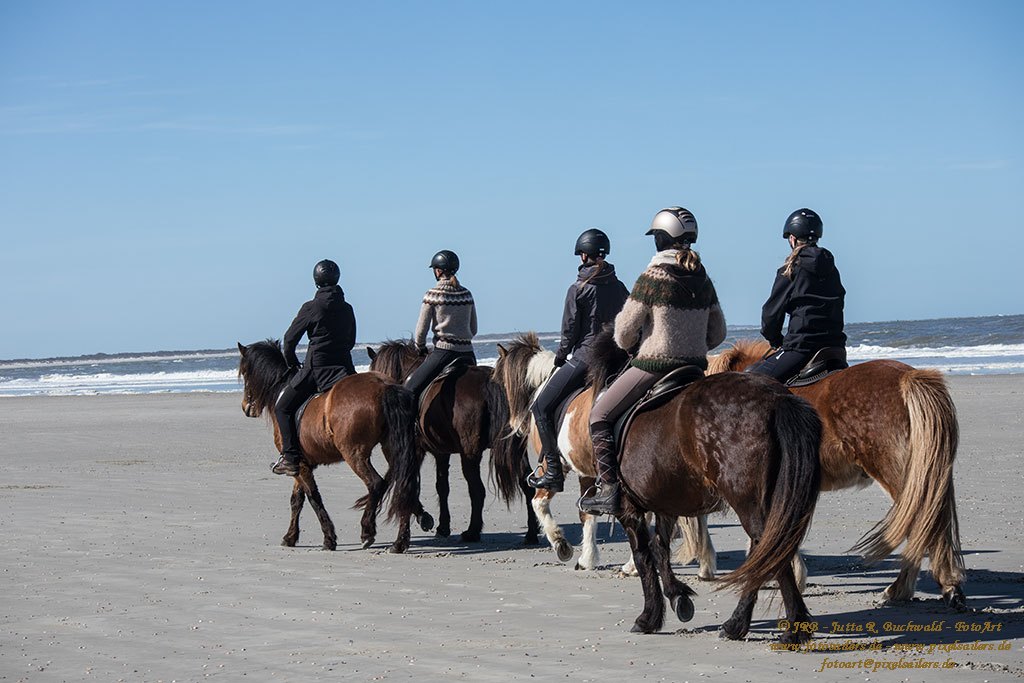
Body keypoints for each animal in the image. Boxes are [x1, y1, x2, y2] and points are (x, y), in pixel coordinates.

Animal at [237, 339, 431, 553]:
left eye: (244, 372)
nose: (245, 407)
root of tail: (383, 386)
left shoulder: (300, 465)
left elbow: (313, 497)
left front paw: (329, 538)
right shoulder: (302, 463)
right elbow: (297, 500)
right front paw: (290, 537)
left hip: (353, 454)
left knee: (376, 483)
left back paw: (367, 531)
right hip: (392, 447)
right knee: (404, 484)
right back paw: (401, 540)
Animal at [367, 340, 539, 544]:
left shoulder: (416, 450)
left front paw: (424, 517)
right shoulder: (442, 453)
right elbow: (442, 487)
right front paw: (442, 525)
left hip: (470, 453)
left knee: (477, 490)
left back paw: (472, 532)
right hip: (516, 450)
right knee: (526, 483)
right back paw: (531, 533)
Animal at [494, 332, 824, 640]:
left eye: (498, 380)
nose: (513, 425)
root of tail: (776, 399)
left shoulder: (613, 496)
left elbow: (636, 548)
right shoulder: (664, 499)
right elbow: (658, 548)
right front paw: (678, 597)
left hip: (746, 500)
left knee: (769, 552)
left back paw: (787, 626)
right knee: (767, 550)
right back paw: (740, 622)